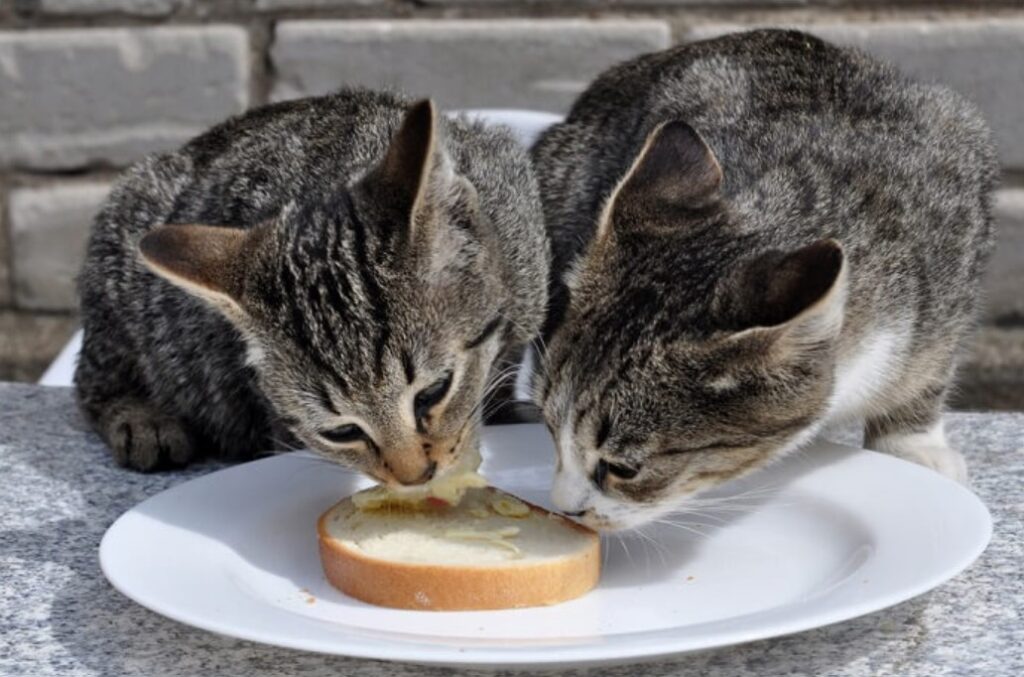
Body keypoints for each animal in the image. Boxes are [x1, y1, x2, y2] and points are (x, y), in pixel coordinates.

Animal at [74, 89, 548, 481]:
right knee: (92, 380)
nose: (415, 477)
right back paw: (141, 420)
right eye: (341, 432)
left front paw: (502, 409)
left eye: (433, 393)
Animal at [532, 30, 995, 528]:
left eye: (623, 468)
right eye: (548, 427)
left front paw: (911, 444)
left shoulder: (957, 238)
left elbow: (932, 367)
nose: (563, 508)